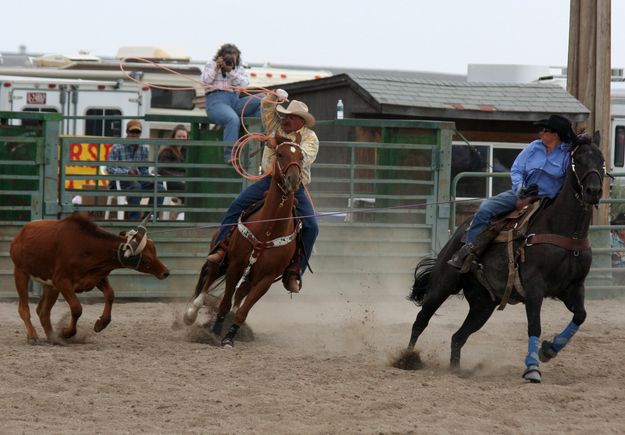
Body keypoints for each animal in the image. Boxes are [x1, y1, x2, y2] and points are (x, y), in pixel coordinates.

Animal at [183, 142, 304, 348]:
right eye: (280, 154)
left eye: (302, 157)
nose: (293, 180)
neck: (269, 227)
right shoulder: (235, 265)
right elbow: (224, 303)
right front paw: (215, 332)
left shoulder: (265, 279)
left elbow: (243, 311)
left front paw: (229, 337)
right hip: (221, 258)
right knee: (209, 278)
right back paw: (191, 312)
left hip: (250, 278)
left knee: (238, 296)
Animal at [402, 132, 604, 382]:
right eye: (577, 160)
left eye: (601, 159)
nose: (593, 191)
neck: (565, 231)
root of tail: (457, 235)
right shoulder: (534, 287)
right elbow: (534, 326)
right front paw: (532, 367)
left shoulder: (573, 287)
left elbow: (581, 316)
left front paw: (549, 350)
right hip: (443, 285)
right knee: (421, 320)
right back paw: (407, 359)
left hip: (483, 305)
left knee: (458, 337)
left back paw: (456, 370)